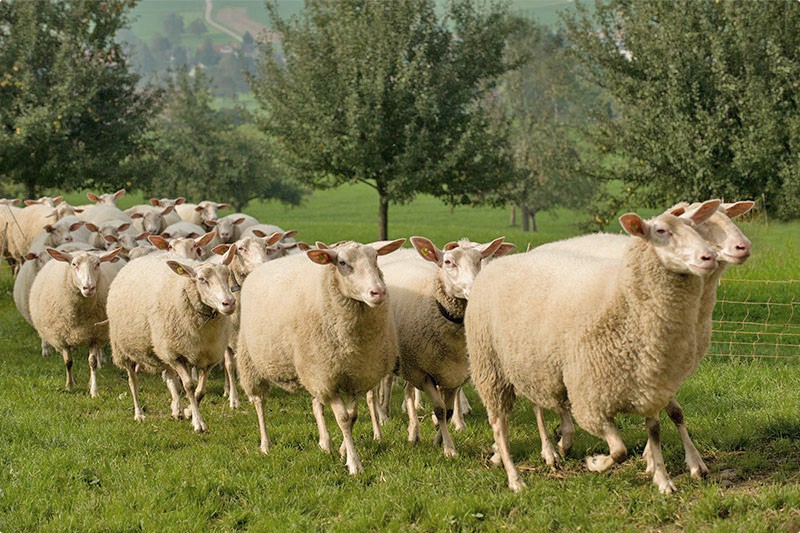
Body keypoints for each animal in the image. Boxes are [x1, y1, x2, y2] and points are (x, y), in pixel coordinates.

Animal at [28, 246, 123, 394]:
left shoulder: (94, 335)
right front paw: (70, 385)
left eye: (98, 264)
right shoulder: (61, 337)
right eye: (74, 264)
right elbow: (68, 362)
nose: (89, 287)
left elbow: (92, 362)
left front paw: (94, 390)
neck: (80, 315)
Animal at [108, 245, 238, 432]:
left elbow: (200, 391)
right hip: (126, 350)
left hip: (163, 348)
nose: (229, 303)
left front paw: (189, 411)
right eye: (201, 279)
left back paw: (177, 409)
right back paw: (139, 414)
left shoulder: (207, 355)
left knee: (169, 377)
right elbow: (189, 386)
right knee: (133, 381)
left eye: (227, 274)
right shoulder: (176, 355)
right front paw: (198, 423)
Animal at [234, 239, 404, 472]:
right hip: (251, 361)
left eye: (376, 258)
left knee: (316, 404)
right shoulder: (326, 378)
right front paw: (354, 464)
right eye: (342, 263)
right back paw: (265, 445)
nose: (378, 292)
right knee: (260, 403)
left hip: (310, 369)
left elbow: (352, 417)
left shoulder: (355, 375)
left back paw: (325, 443)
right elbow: (343, 419)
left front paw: (342, 451)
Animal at [376, 237, 504, 458]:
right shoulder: (425, 374)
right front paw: (449, 449)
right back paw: (382, 425)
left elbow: (449, 411)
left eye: (480, 259)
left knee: (408, 392)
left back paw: (413, 433)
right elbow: (440, 410)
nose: (475, 289)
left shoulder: (453, 374)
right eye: (448, 262)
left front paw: (439, 438)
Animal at [462, 203, 720, 490]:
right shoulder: (590, 399)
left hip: (530, 364)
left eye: (695, 228)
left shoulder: (649, 387)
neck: (624, 299)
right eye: (661, 231)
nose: (710, 256)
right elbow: (619, 450)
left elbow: (654, 432)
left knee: (536, 404)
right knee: (499, 425)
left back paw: (550, 449)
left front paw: (663, 480)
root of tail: (498, 263)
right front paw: (595, 463)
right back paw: (514, 476)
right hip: (490, 366)